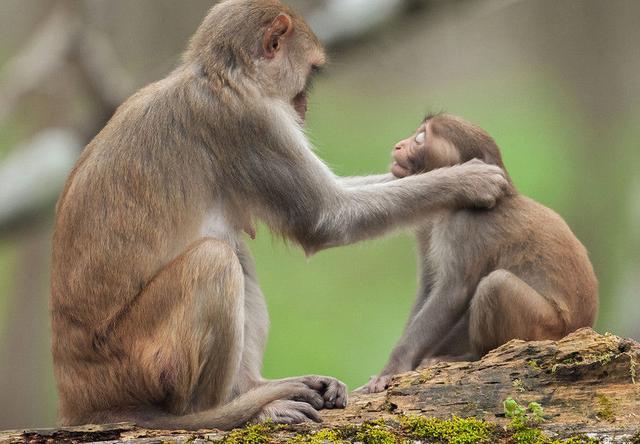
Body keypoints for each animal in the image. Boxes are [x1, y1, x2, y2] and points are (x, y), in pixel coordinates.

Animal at [52, 0, 508, 432]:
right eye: (310, 73)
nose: (303, 106)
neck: (220, 77)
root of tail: (78, 397)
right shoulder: (253, 124)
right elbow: (326, 218)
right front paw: (468, 180)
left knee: (234, 254)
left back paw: (254, 387)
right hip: (137, 363)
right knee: (216, 259)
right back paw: (233, 408)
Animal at [364, 113, 600, 392]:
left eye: (420, 138)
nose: (399, 145)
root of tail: (580, 328)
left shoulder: (464, 223)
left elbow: (453, 292)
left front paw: (392, 369)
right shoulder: (427, 223)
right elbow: (429, 286)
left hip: (547, 329)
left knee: (496, 285)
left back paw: (473, 356)